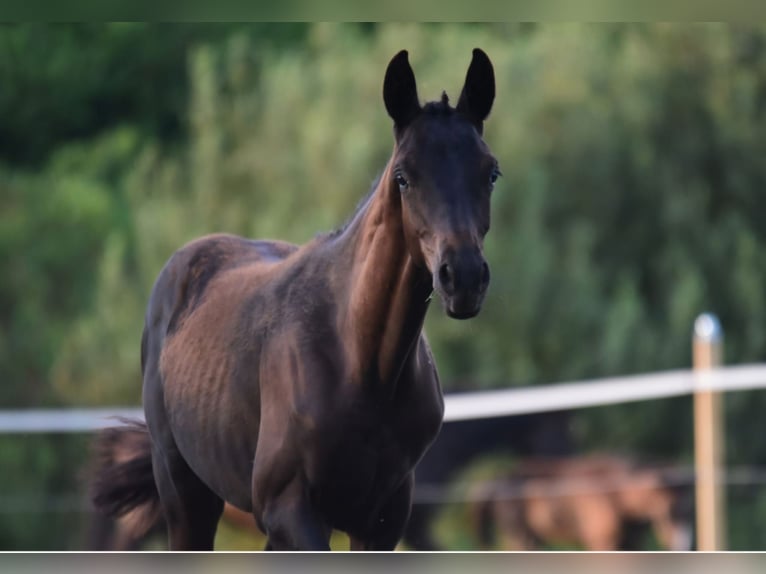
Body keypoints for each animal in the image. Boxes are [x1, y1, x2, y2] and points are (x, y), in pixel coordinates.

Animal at [88, 49, 504, 552]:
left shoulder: (384, 518)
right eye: (404, 177)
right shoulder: (290, 509)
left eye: (491, 172)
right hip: (185, 496)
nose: (462, 277)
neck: (361, 365)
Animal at [472, 454, 700, 552]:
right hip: (520, 537)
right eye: (668, 511)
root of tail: (498, 480)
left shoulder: (631, 543)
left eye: (690, 510)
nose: (681, 547)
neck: (617, 497)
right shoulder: (603, 541)